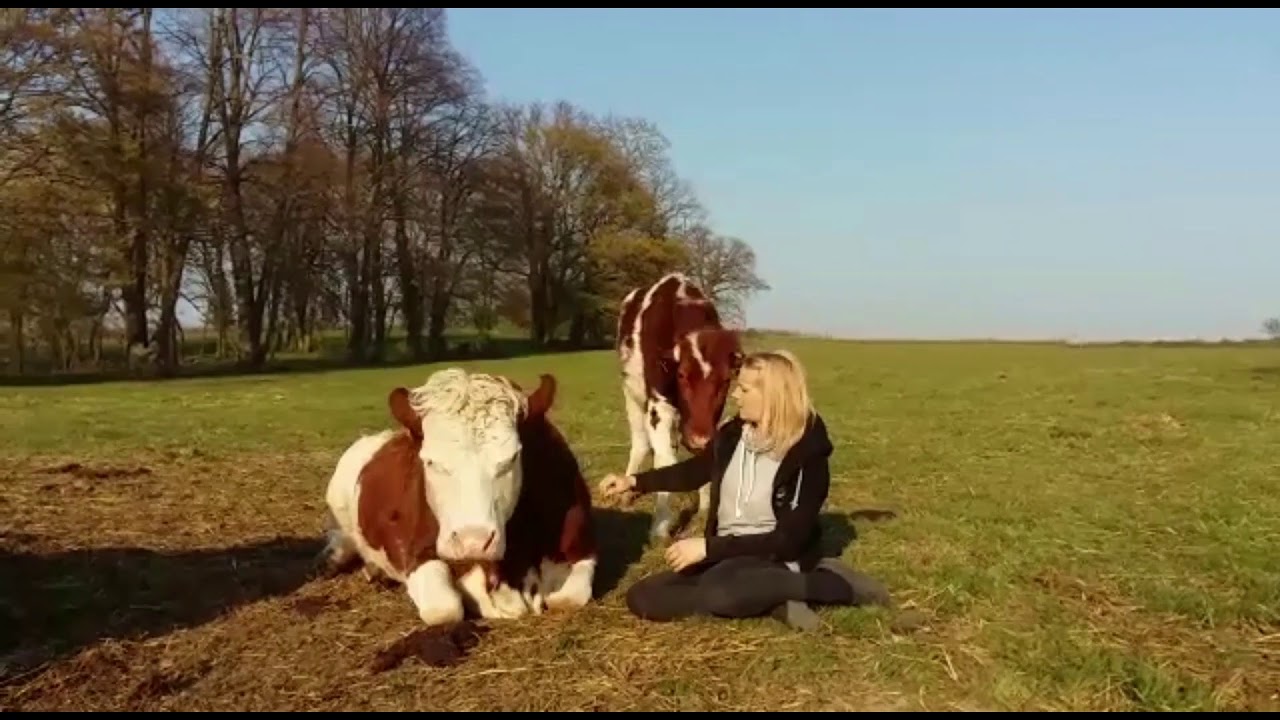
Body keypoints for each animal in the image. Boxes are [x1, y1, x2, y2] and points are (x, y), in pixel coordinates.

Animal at [319, 368, 597, 627]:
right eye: (431, 462)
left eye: (512, 458)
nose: (473, 541)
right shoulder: (417, 553)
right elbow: (444, 609)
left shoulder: (580, 545)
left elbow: (567, 598)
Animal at [616, 272, 744, 540]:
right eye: (682, 375)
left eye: (726, 380)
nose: (697, 438)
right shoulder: (657, 408)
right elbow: (665, 462)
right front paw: (660, 525)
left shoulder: (712, 420)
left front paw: (706, 505)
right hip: (631, 394)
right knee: (641, 444)